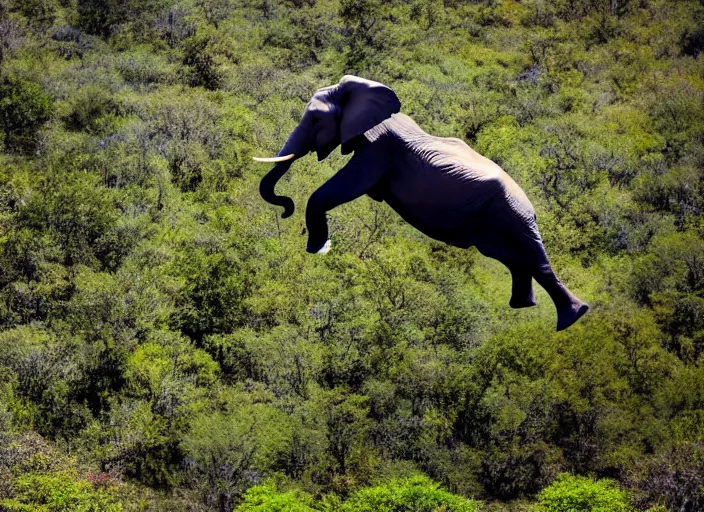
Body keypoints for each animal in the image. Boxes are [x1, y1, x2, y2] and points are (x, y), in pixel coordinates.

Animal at [253, 76, 588, 332]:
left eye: (315, 119)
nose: (286, 208)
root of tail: (530, 205)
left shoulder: (378, 148)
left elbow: (340, 188)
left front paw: (317, 248)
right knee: (517, 261)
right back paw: (524, 306)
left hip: (507, 215)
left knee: (534, 261)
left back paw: (571, 319)